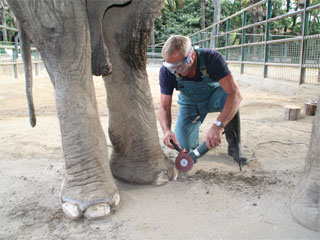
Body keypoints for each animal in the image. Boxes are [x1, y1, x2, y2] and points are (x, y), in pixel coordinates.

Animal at [6, 0, 175, 220]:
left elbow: (130, 28)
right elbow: (59, 28)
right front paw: (94, 207)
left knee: (128, 38)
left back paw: (157, 175)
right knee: (64, 34)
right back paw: (95, 206)